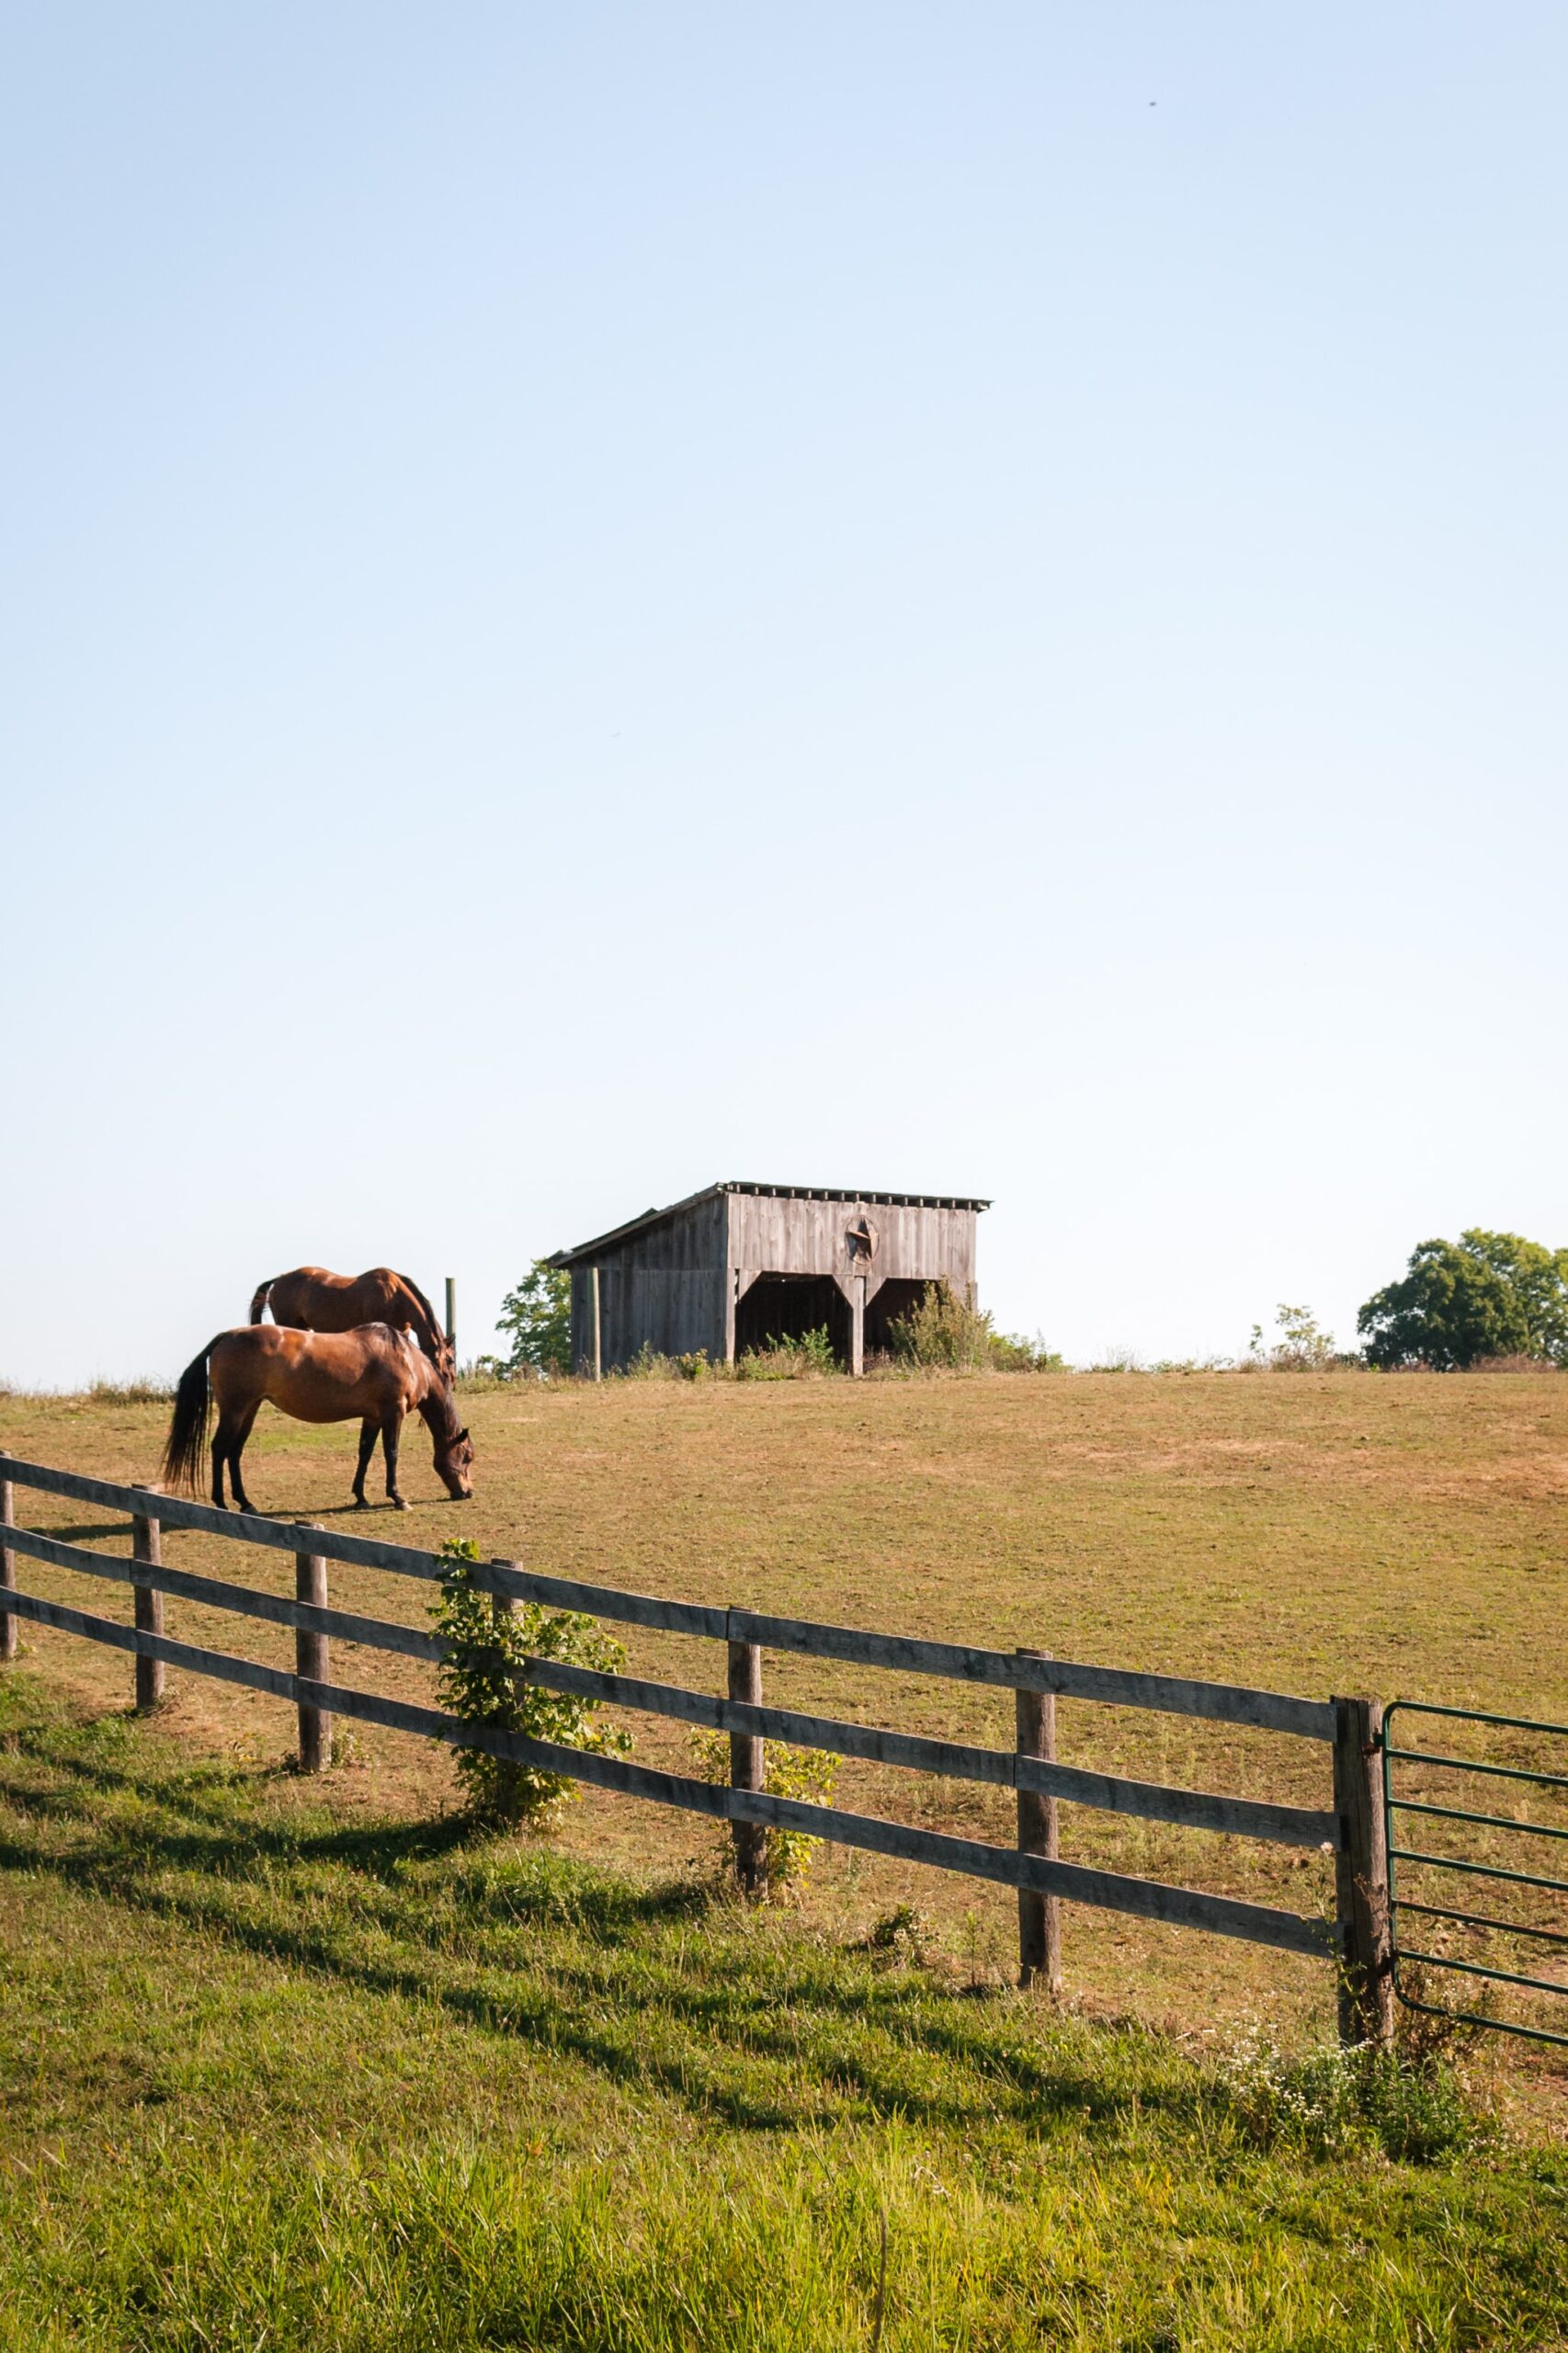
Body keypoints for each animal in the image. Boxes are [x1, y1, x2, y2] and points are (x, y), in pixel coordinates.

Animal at [165, 1326, 472, 1506]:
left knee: (234, 1451)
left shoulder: (372, 1417)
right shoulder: (392, 1413)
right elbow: (391, 1454)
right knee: (220, 1449)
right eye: (467, 1457)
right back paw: (222, 1502)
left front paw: (360, 1496)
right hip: (235, 1410)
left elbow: (364, 1453)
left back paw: (245, 1502)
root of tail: (225, 1337)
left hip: (249, 1409)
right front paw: (397, 1497)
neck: (407, 1358)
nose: (467, 1492)